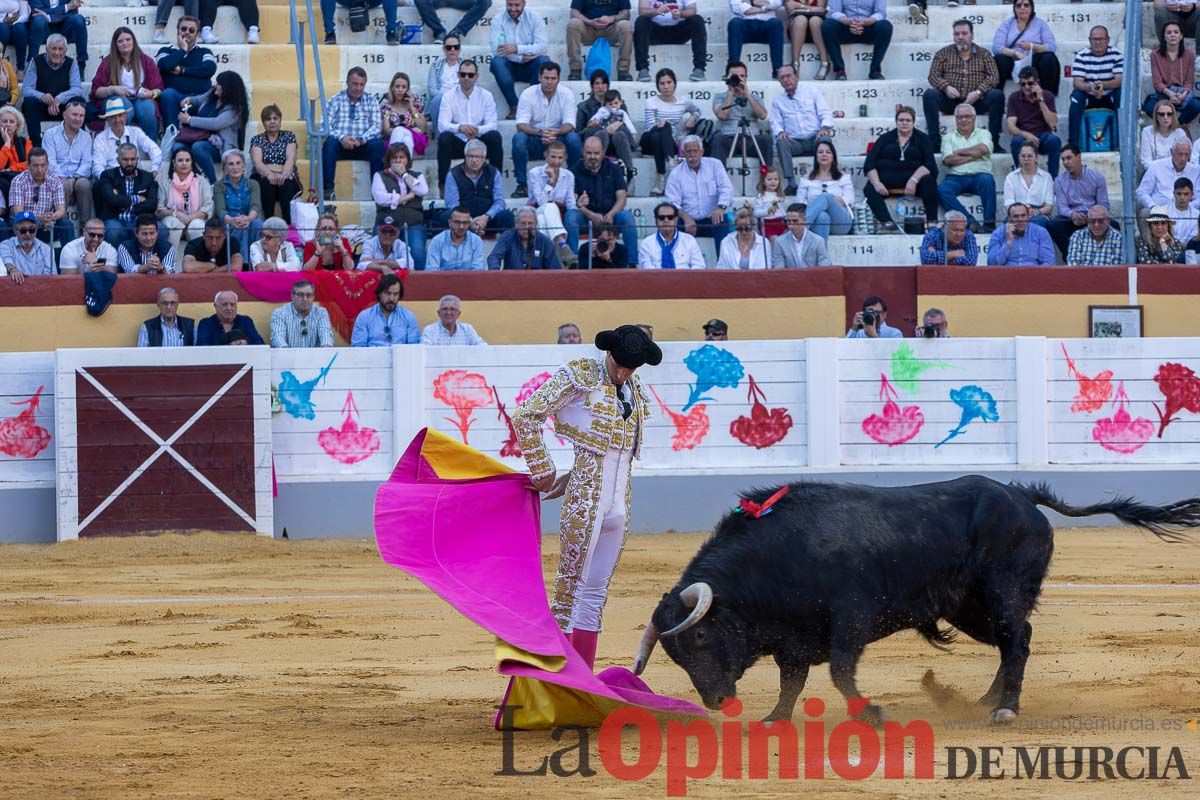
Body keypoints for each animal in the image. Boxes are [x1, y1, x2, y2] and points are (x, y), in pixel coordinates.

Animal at [633, 474, 1195, 724]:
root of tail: (1020, 495)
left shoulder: (850, 620)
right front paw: (774, 719)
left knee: (1017, 641)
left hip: (1003, 591)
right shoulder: (796, 636)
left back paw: (1005, 710)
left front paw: (872, 713)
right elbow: (794, 679)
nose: (716, 701)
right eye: (674, 654)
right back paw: (986, 699)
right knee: (1015, 640)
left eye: (698, 638)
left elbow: (839, 672)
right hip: (968, 608)